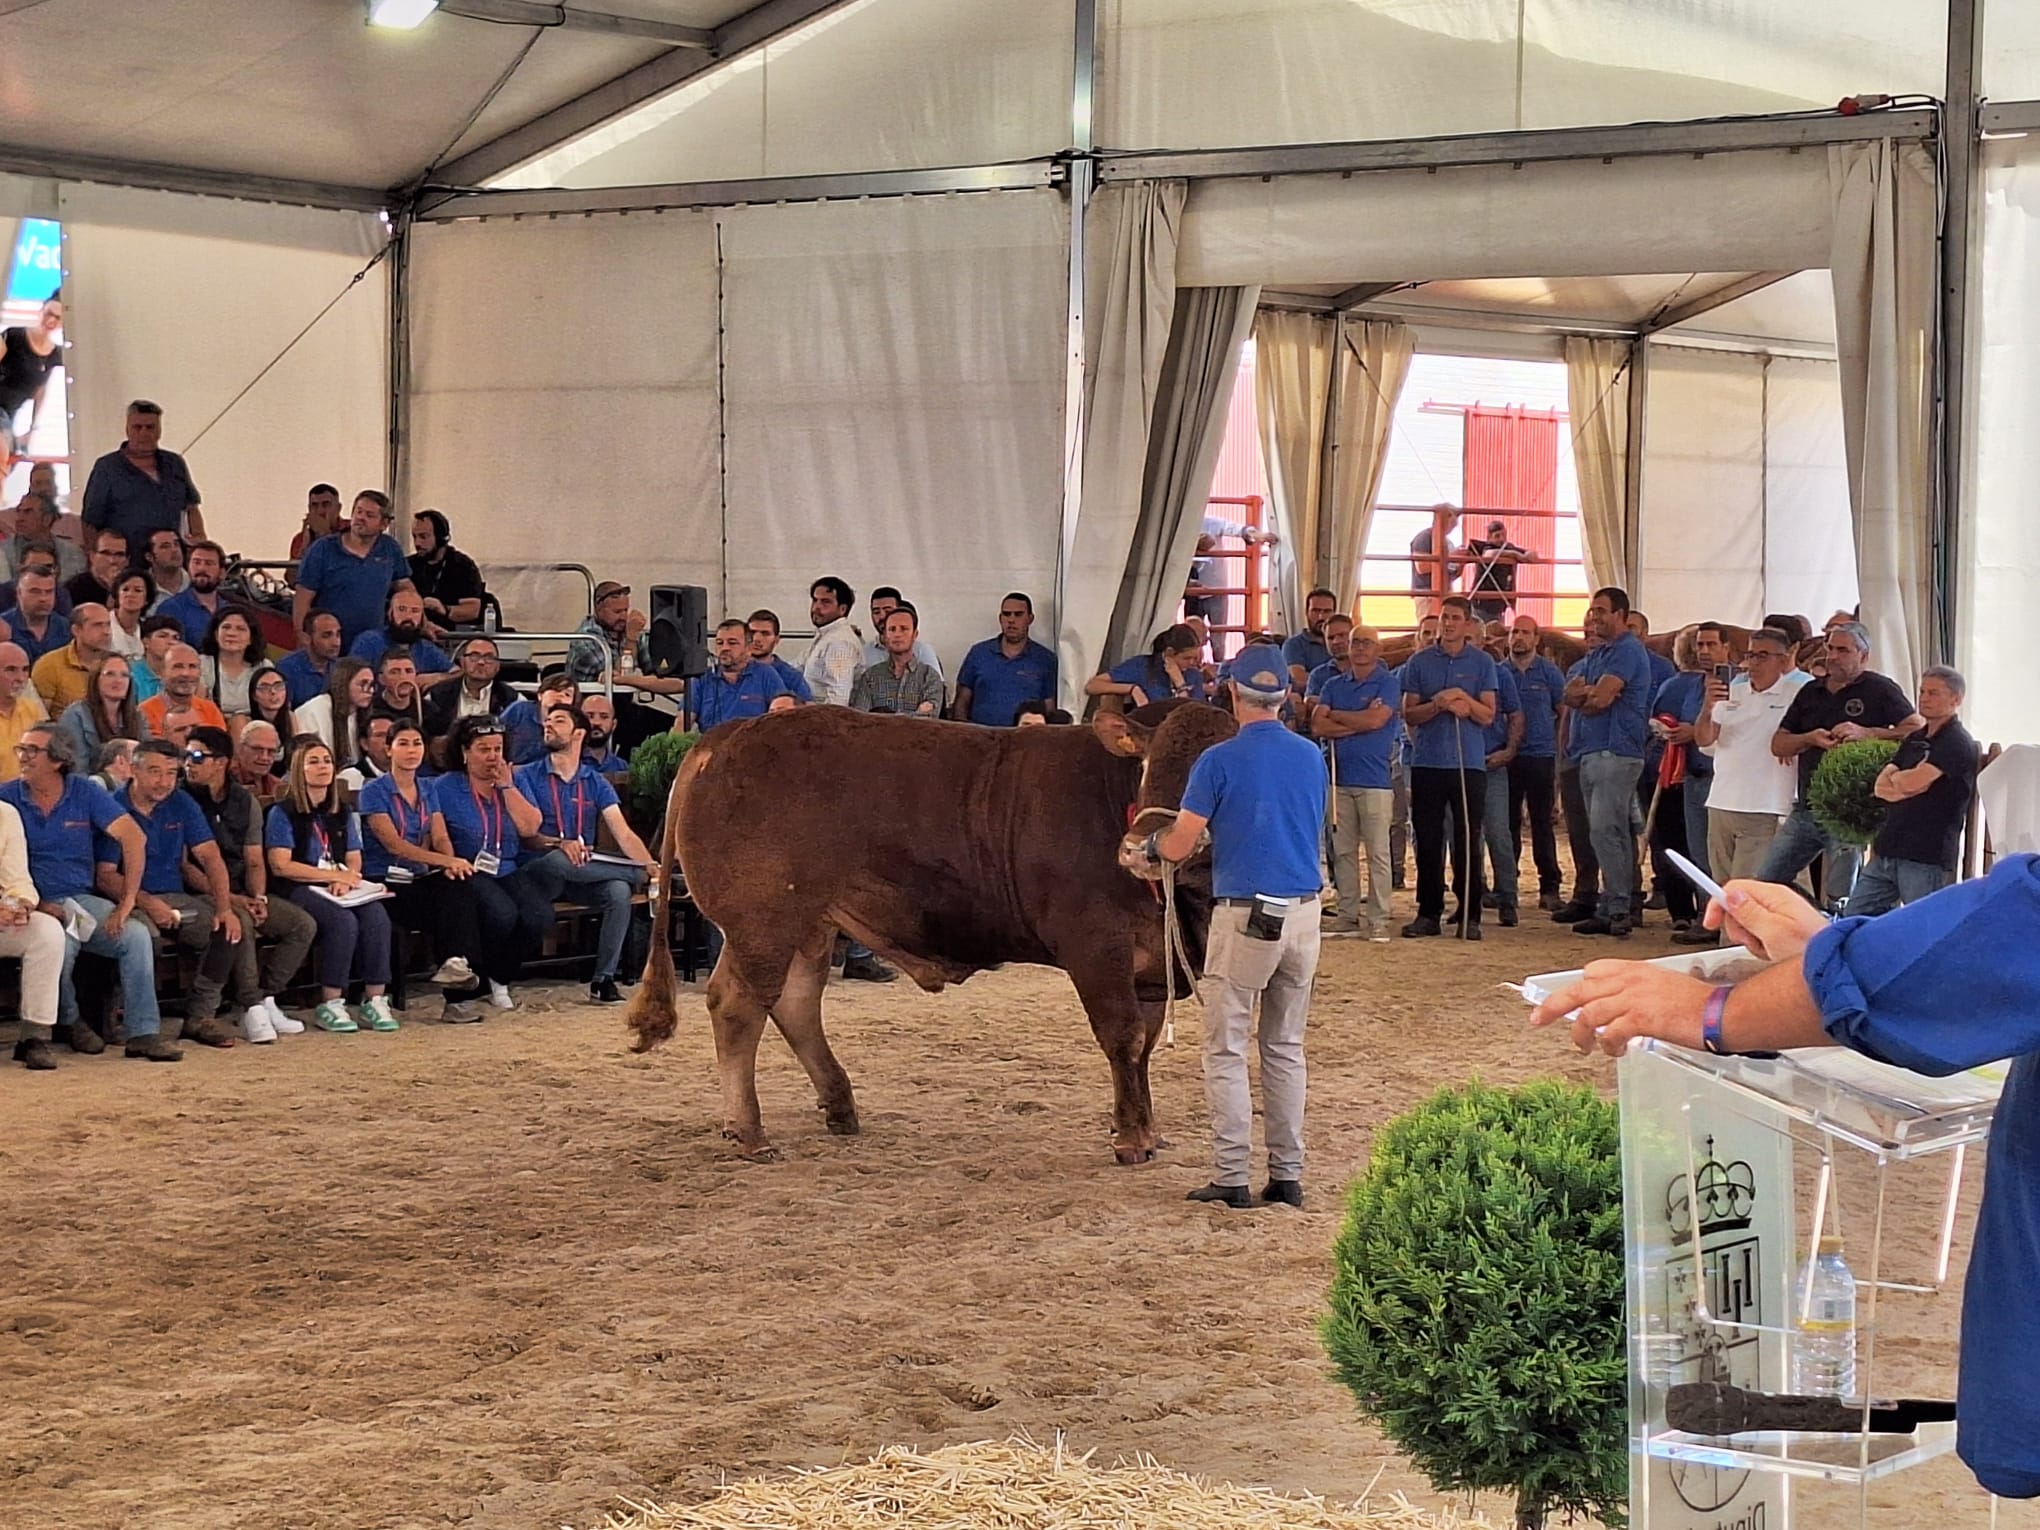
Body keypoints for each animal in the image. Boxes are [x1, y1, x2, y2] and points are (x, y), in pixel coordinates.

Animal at [620, 705, 1232, 1158]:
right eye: (1152, 767)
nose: (1142, 849)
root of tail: (728, 734)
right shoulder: (1096, 948)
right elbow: (1122, 1037)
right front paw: (1130, 1138)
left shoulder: (1151, 965)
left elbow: (1145, 1044)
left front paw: (1148, 1129)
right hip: (763, 923)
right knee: (738, 1006)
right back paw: (748, 1130)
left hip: (809, 924)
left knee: (794, 1004)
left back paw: (839, 1106)